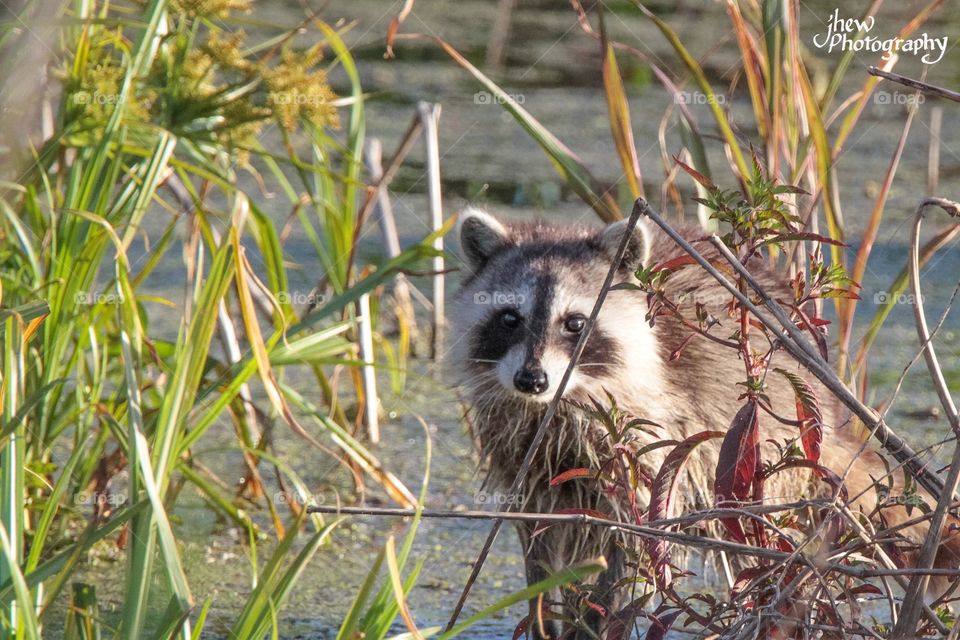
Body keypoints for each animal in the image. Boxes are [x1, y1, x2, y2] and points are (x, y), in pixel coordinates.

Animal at [447, 208, 958, 638]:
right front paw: (544, 614)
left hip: (774, 449)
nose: (532, 379)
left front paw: (598, 619)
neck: (561, 403)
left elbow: (627, 540)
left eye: (575, 323)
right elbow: (535, 538)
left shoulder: (646, 441)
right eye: (509, 318)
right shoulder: (526, 459)